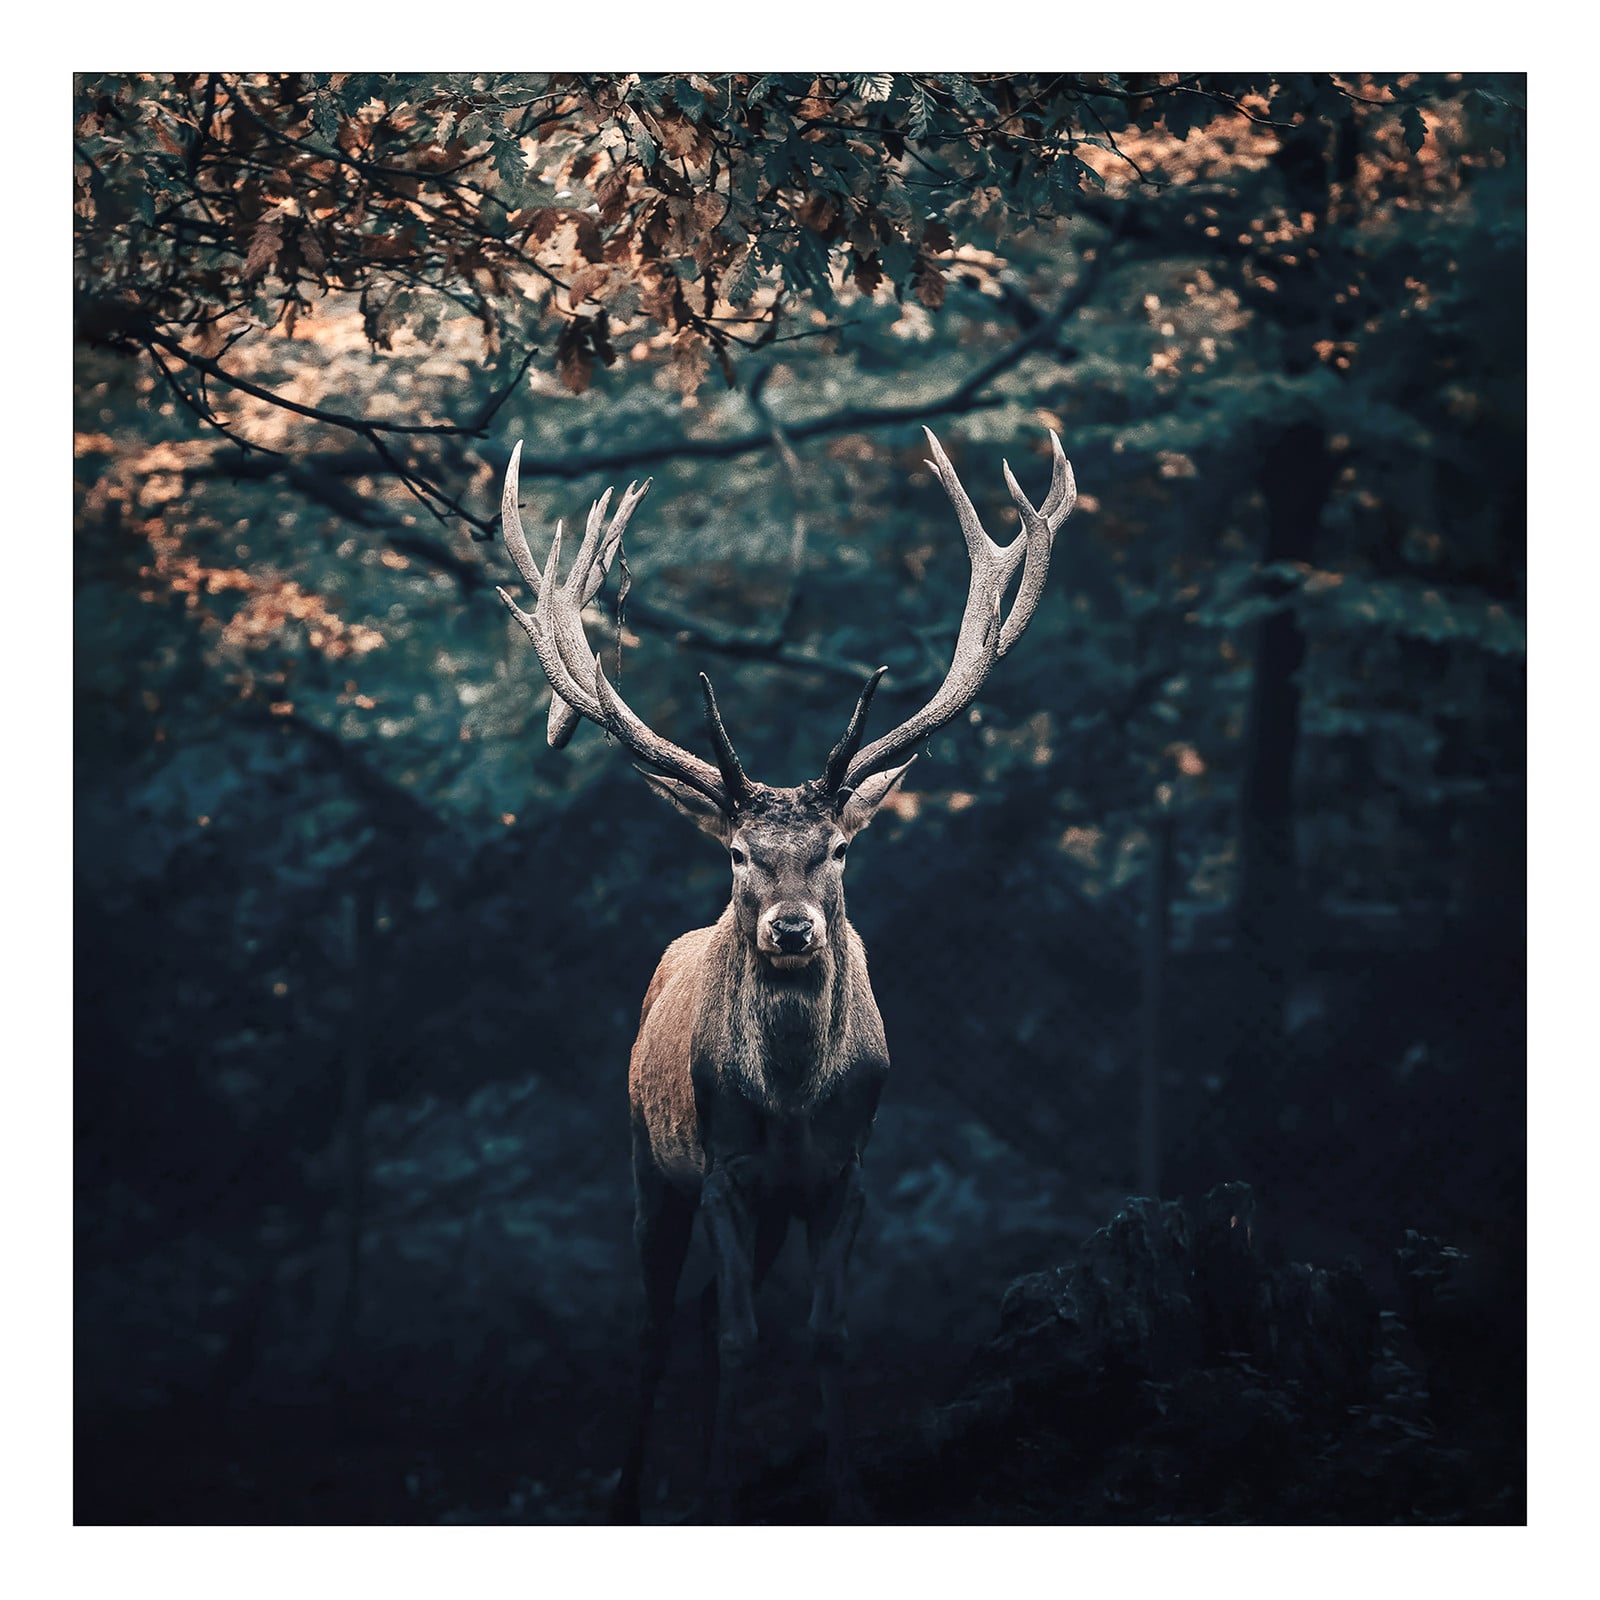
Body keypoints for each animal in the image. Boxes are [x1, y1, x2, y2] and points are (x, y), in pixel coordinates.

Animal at [494, 426, 1075, 1522]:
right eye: (736, 853)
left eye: (839, 848)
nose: (794, 929)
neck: (797, 1100)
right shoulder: (725, 1169)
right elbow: (734, 1338)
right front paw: (719, 1489)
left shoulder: (845, 1173)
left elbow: (825, 1334)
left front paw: (844, 1489)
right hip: (647, 1160)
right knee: (657, 1324)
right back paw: (634, 1493)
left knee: (704, 1313)